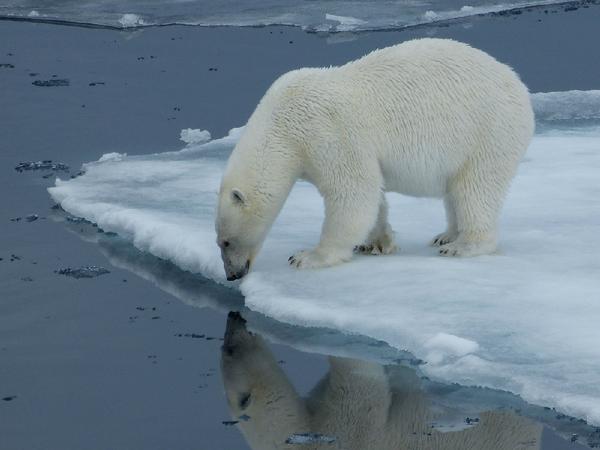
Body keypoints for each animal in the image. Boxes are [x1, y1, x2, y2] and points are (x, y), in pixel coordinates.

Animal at [216, 38, 536, 280]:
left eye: (226, 241)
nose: (232, 275)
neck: (281, 124)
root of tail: (517, 82)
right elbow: (373, 195)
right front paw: (377, 243)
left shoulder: (326, 133)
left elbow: (353, 193)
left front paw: (307, 256)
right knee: (456, 191)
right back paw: (445, 235)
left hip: (488, 131)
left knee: (476, 187)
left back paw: (463, 245)